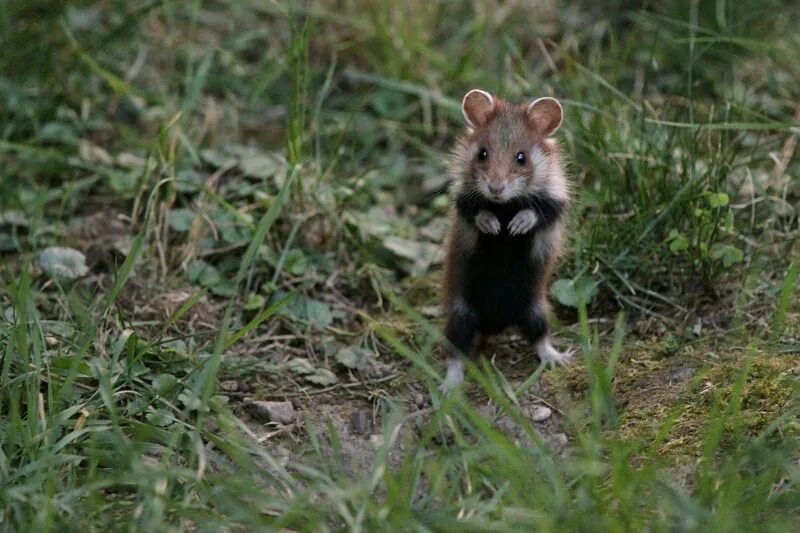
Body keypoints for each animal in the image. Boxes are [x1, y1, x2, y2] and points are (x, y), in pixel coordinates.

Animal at [440, 88, 572, 390]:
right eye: (482, 154)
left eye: (521, 157)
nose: (495, 189)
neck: (505, 205)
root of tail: (494, 325)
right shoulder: (463, 199)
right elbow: (477, 212)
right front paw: (493, 226)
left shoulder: (556, 200)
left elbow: (536, 212)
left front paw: (514, 227)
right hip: (460, 315)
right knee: (456, 352)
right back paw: (449, 386)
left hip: (536, 308)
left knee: (540, 337)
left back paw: (558, 359)